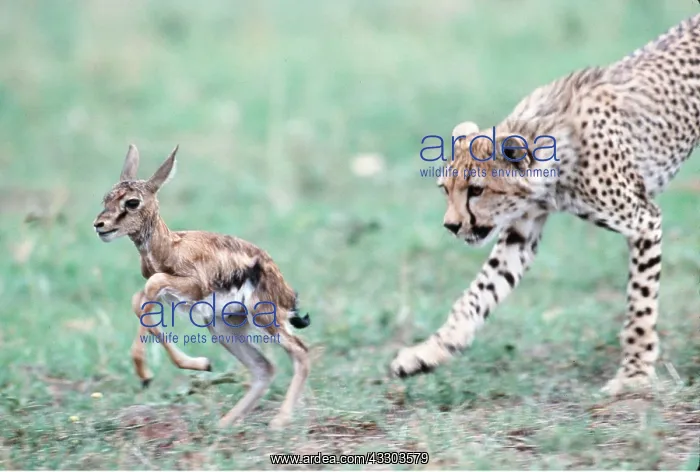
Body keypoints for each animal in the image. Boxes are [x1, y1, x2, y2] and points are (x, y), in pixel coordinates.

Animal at [390, 13, 700, 395]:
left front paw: (634, 374)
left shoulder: (643, 220)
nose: (451, 225)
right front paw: (427, 352)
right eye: (444, 190)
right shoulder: (521, 232)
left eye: (476, 190)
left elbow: (639, 305)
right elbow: (477, 295)